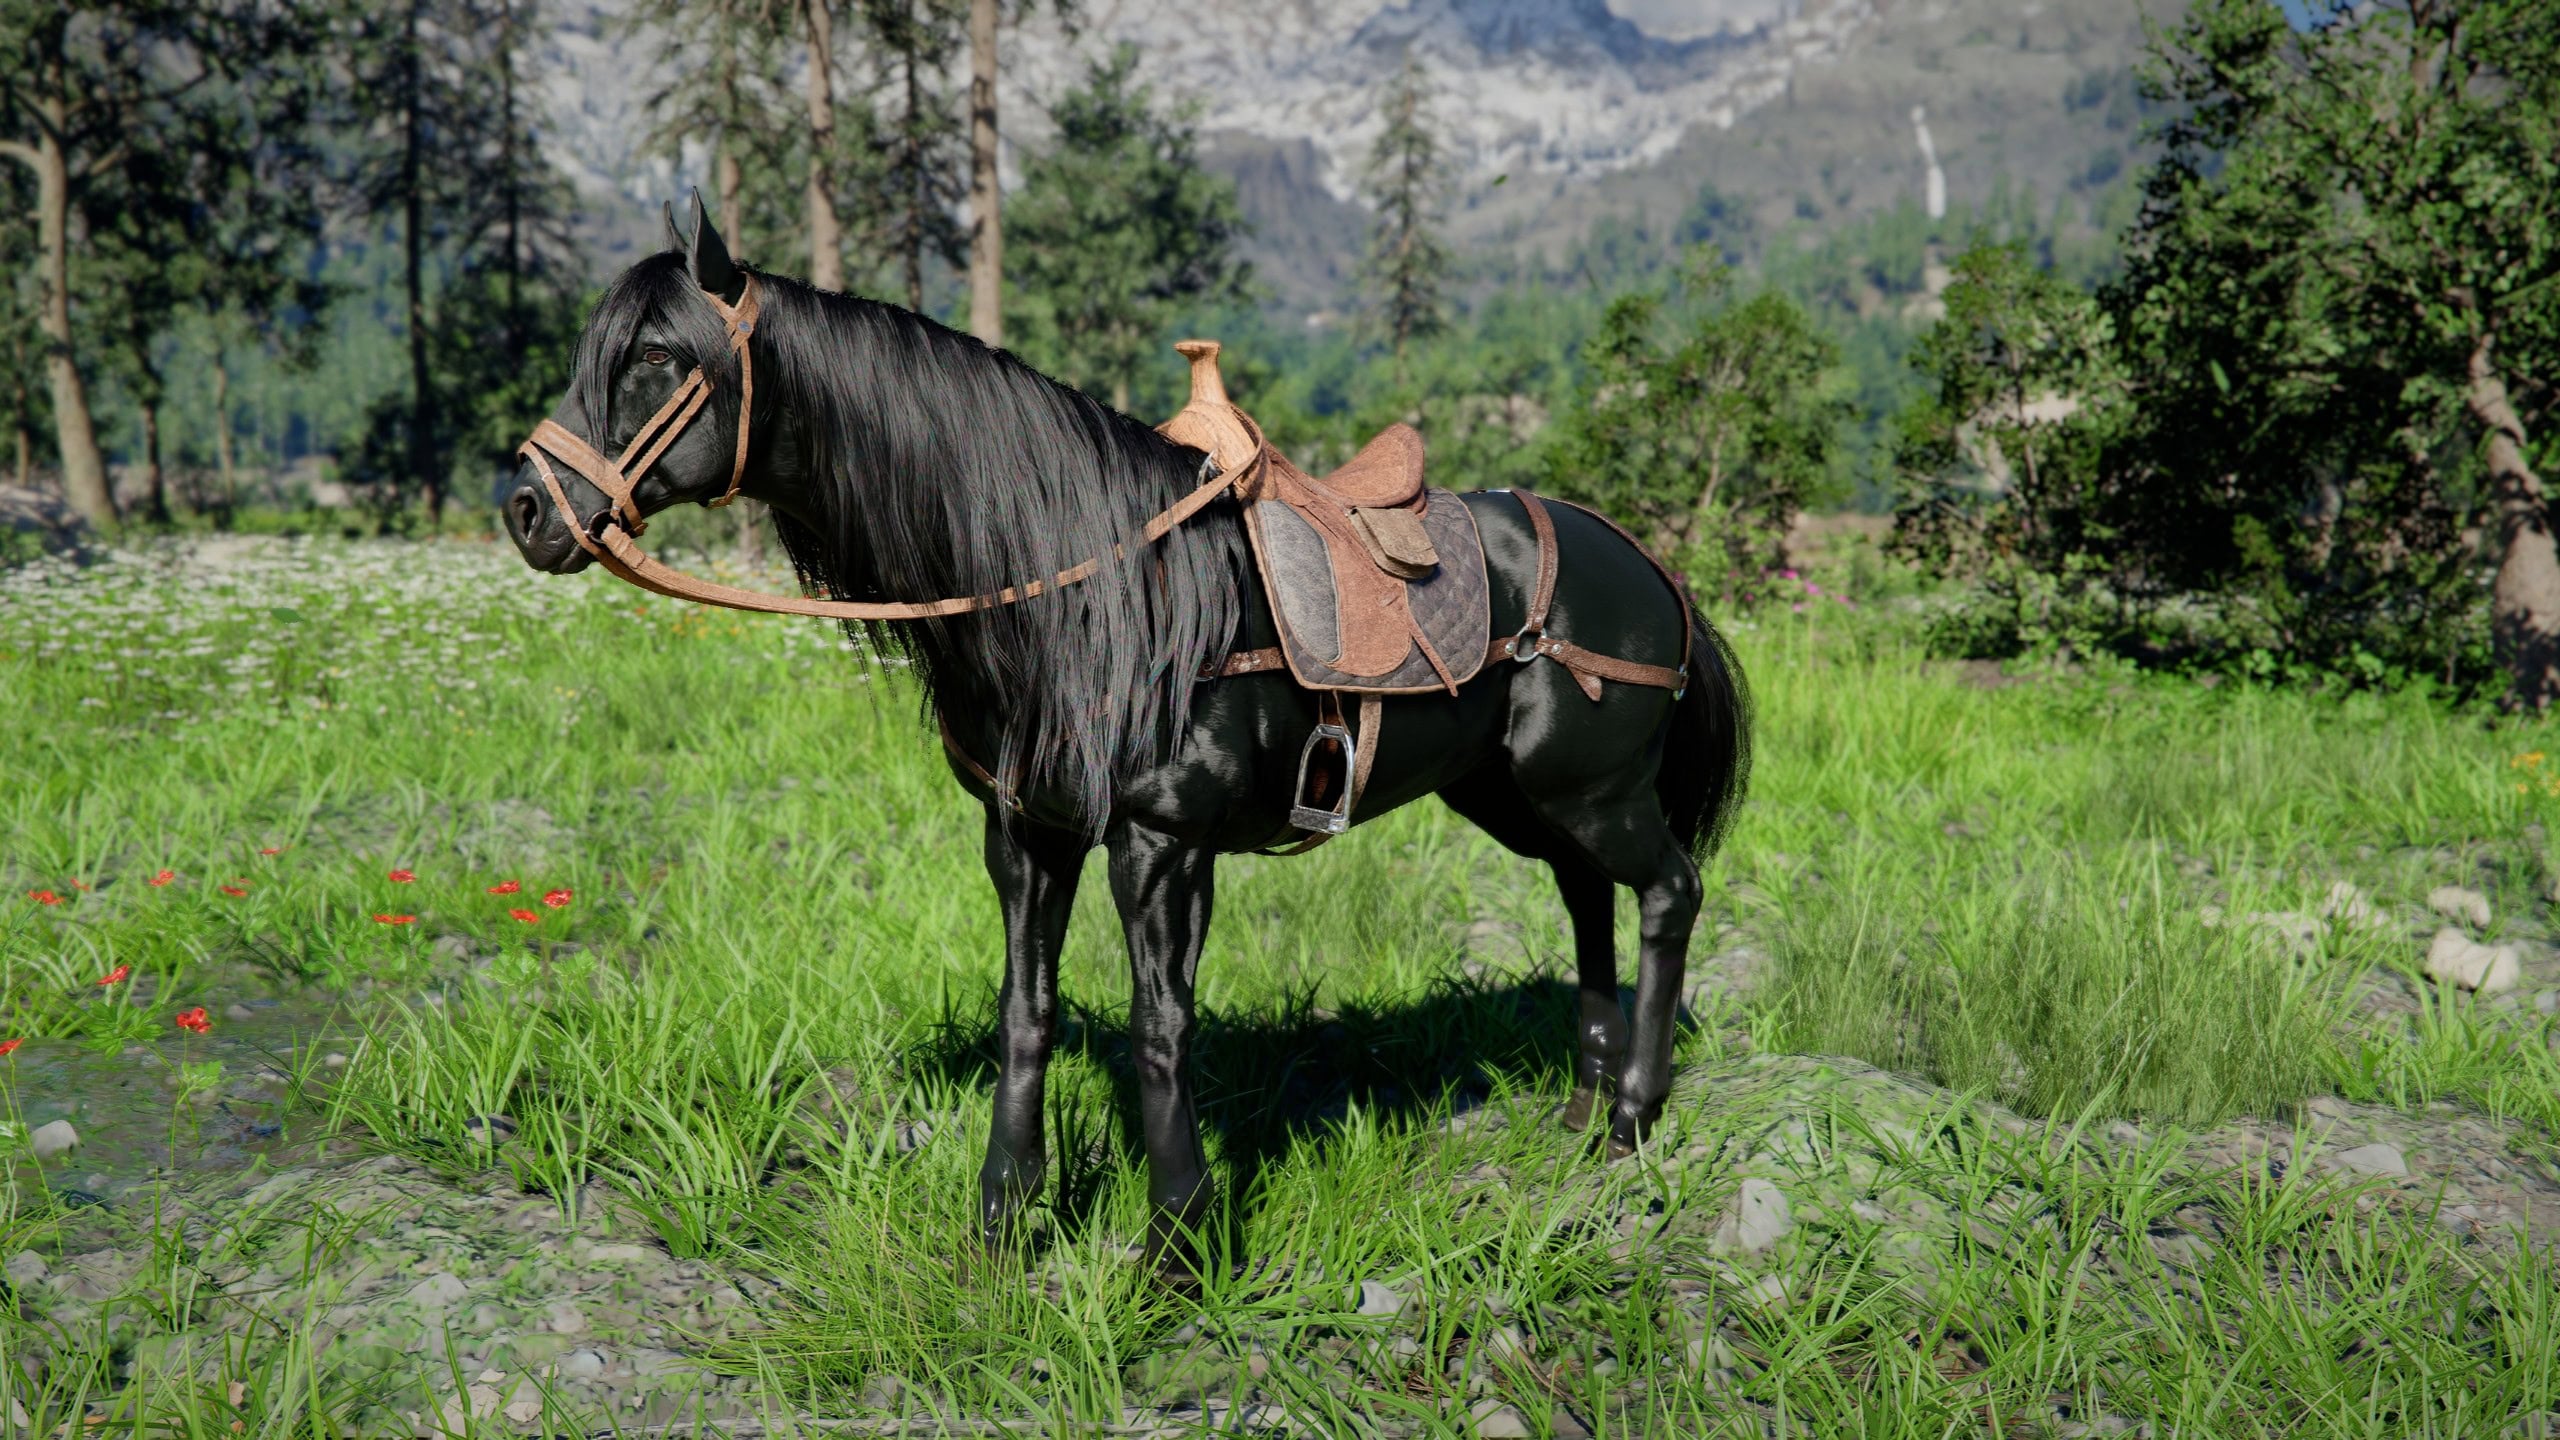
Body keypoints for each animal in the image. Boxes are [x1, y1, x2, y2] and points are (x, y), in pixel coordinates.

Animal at [500, 198, 1751, 1279]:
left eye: (655, 357)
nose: (526, 510)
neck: (1085, 587)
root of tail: (1644, 565)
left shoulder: (1161, 844)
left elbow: (1160, 1028)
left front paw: (1178, 1246)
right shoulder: (1025, 836)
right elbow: (1028, 1017)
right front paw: (1003, 1222)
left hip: (1590, 792)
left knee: (1666, 893)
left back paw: (1633, 1110)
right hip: (1518, 795)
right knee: (1588, 902)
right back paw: (1582, 1111)